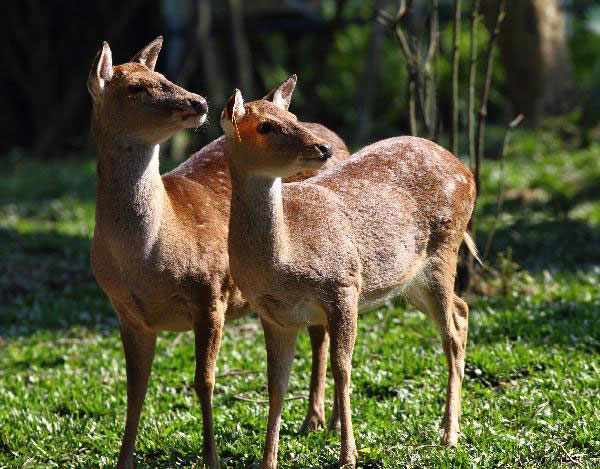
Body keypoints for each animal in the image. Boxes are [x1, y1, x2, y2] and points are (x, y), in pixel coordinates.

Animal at [88, 37, 350, 468]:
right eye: (137, 87)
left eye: (166, 76)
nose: (198, 101)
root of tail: (336, 138)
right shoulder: (126, 312)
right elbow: (134, 388)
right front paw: (124, 459)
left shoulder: (210, 291)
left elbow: (204, 381)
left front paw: (210, 457)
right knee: (317, 331)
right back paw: (317, 421)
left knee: (321, 333)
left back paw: (317, 421)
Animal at [223, 84, 480, 468]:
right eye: (265, 126)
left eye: (293, 116)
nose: (323, 147)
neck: (284, 259)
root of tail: (469, 172)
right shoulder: (273, 315)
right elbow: (276, 385)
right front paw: (268, 460)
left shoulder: (344, 285)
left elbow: (342, 368)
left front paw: (348, 455)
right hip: (409, 279)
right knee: (462, 311)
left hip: (443, 251)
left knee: (451, 331)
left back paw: (449, 435)